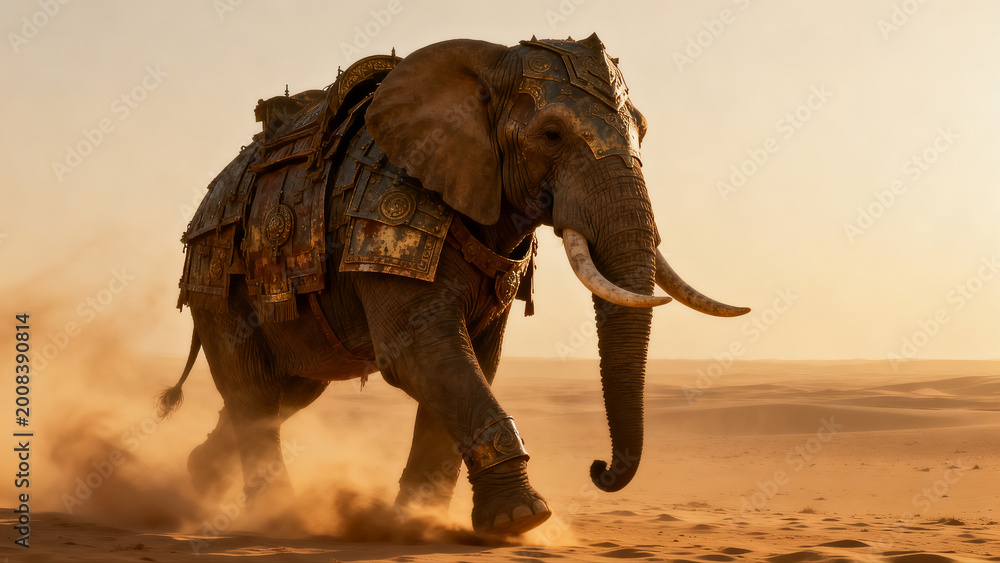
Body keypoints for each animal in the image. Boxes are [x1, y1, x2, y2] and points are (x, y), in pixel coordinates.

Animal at [160, 33, 749, 536]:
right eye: (552, 135)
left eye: (643, 130)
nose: (599, 467)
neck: (484, 69)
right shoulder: (390, 206)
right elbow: (424, 353)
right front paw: (522, 520)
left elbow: (475, 359)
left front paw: (418, 525)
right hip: (218, 275)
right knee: (255, 391)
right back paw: (276, 518)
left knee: (287, 391)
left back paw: (198, 476)